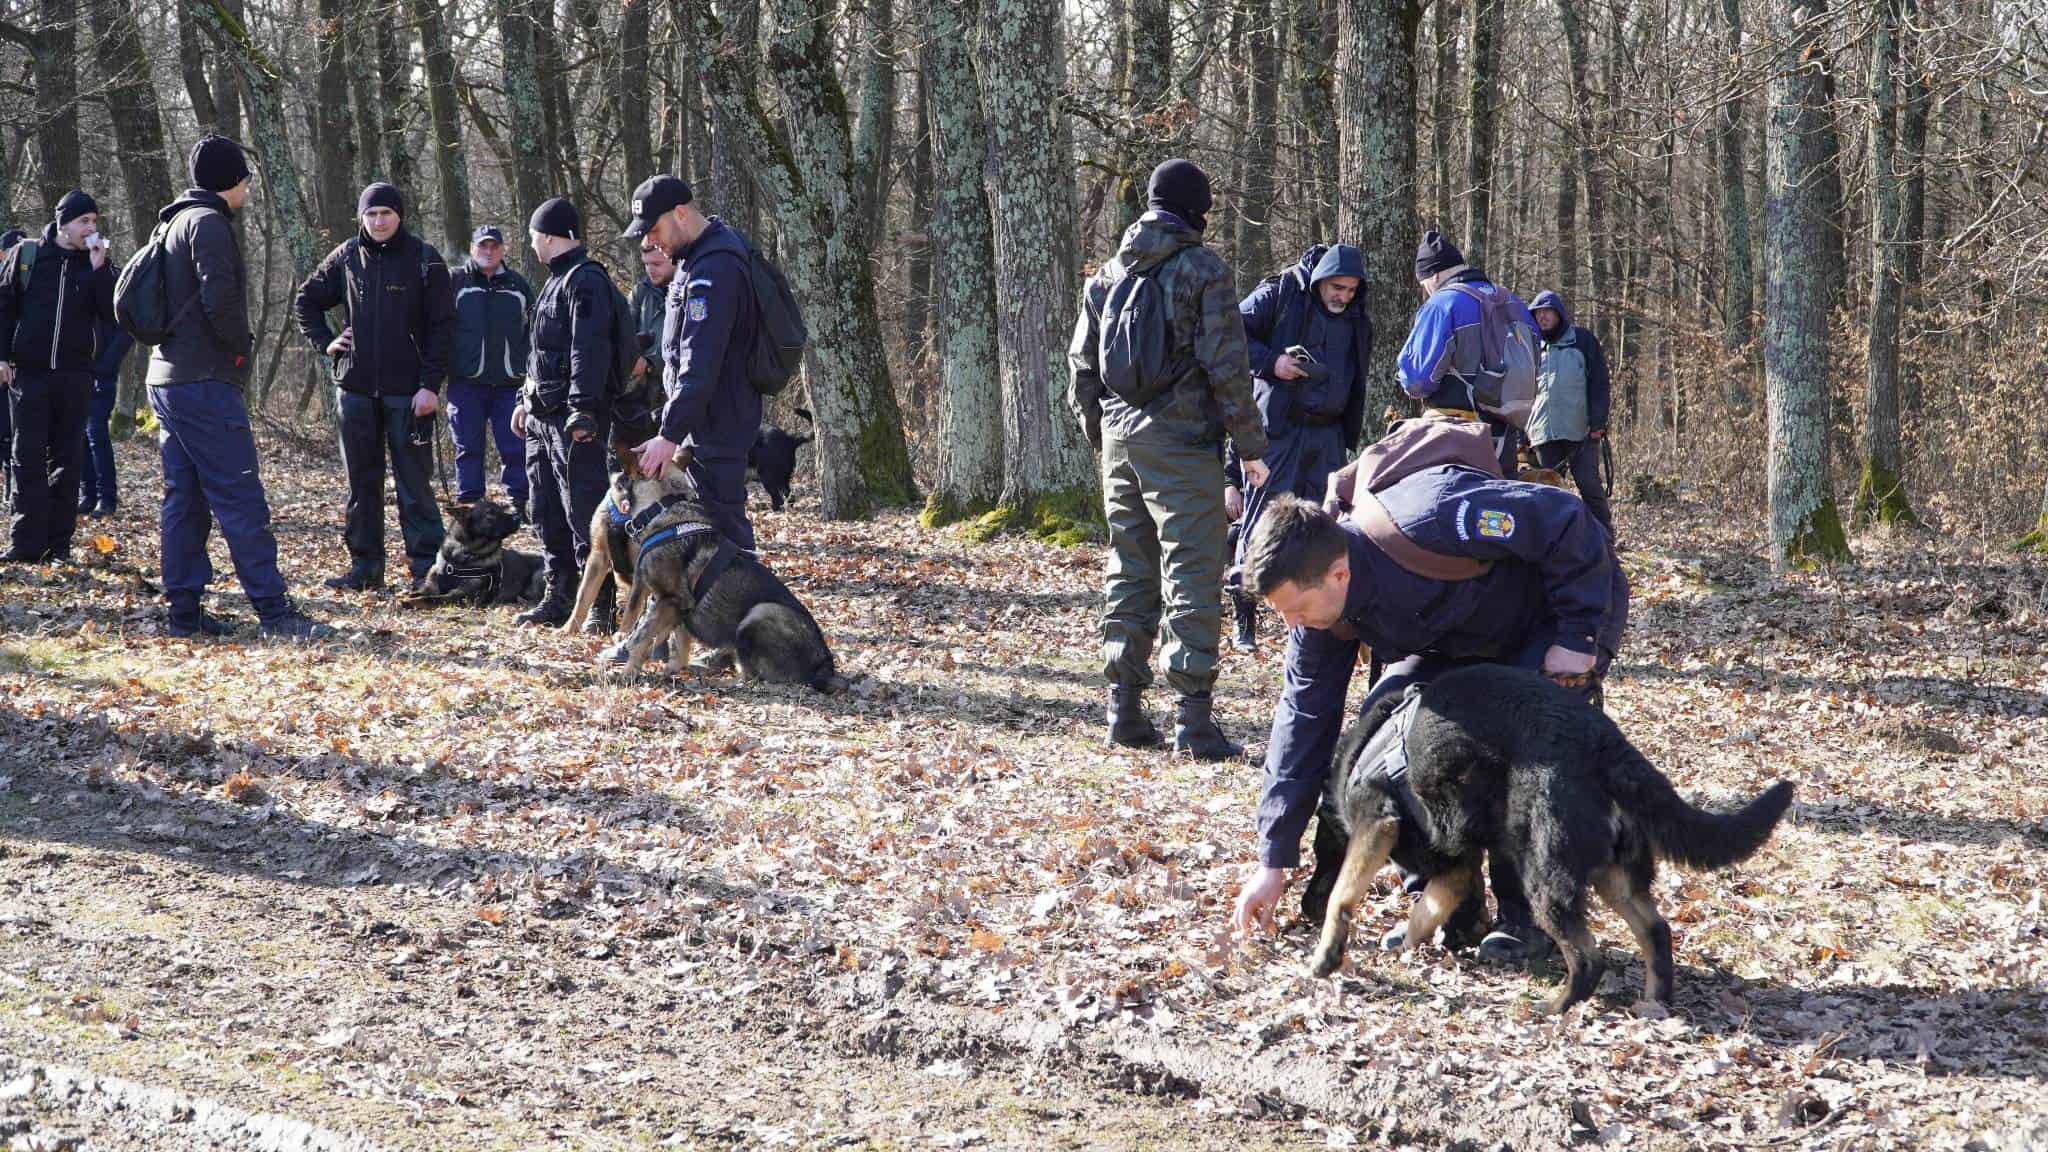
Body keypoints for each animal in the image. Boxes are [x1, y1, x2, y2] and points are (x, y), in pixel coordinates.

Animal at [561, 461, 839, 684]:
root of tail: (825, 664)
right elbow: (678, 642)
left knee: (753, 676)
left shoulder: (667, 600)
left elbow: (640, 638)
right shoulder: (677, 607)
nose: (615, 474)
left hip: (758, 614)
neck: (661, 509)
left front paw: (627, 671)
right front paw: (672, 667)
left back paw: (727, 682)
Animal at [1310, 660, 1794, 1008]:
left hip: (1546, 875)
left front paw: (1327, 953)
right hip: (1613, 874)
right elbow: (1426, 909)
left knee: (1587, 957)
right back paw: (1654, 1003)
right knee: (1655, 931)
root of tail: (1603, 743)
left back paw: (1553, 1007)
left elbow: (1342, 895)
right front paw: (1408, 941)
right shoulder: (1454, 864)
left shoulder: (1378, 822)